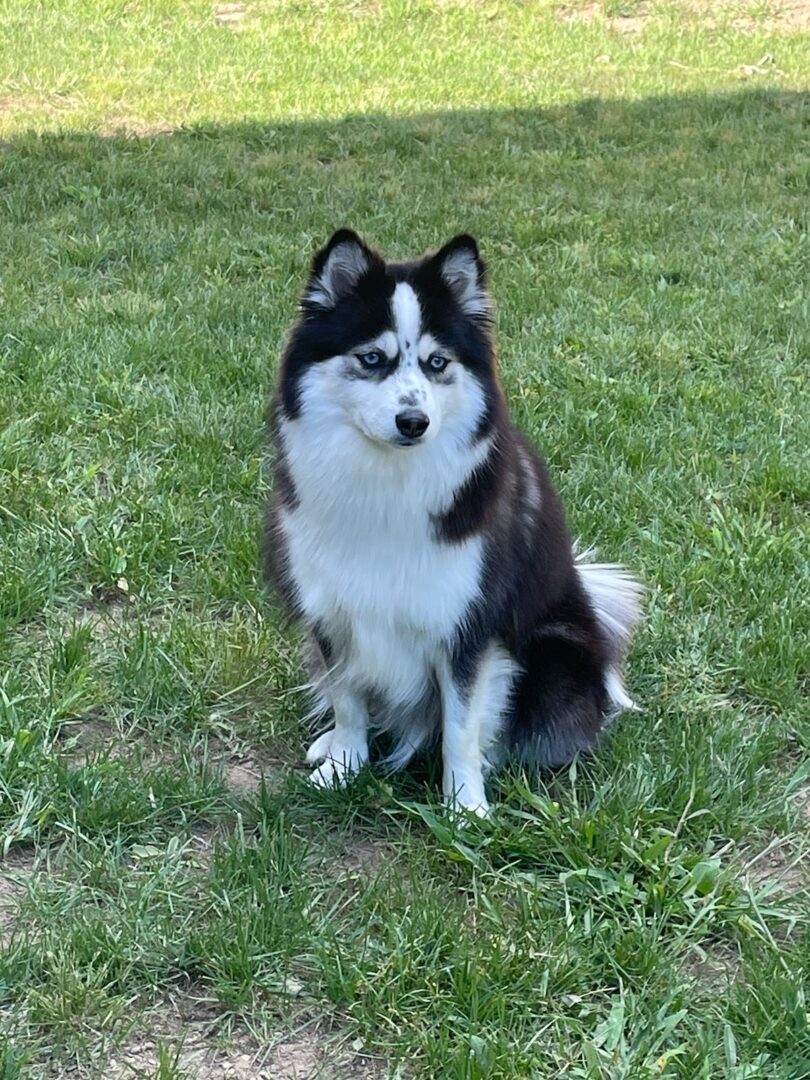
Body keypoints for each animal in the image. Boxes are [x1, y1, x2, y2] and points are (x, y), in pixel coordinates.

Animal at [263, 230, 643, 816]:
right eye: (371, 358)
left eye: (437, 362)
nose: (413, 422)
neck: (386, 483)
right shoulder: (332, 610)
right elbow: (348, 701)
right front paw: (344, 767)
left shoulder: (468, 628)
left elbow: (461, 730)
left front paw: (465, 808)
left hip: (554, 655)